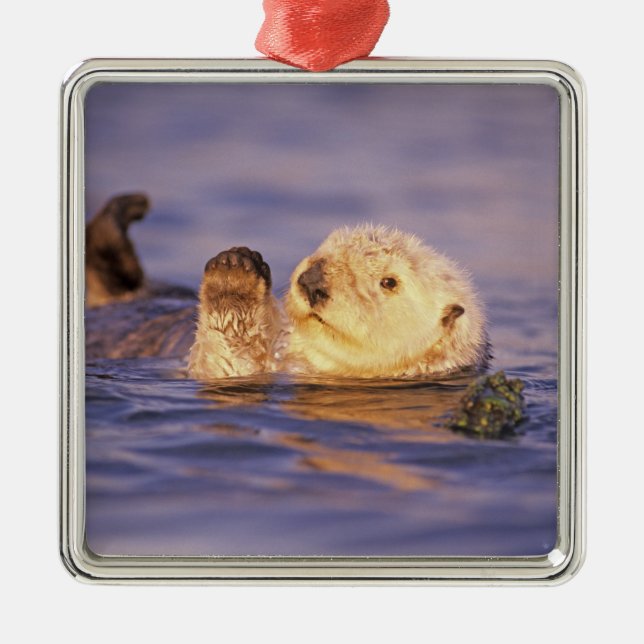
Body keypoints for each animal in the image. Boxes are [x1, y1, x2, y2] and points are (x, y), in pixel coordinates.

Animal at [85, 195, 489, 377]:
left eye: (389, 281)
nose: (312, 280)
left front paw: (234, 275)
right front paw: (237, 258)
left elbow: (225, 361)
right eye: (327, 246)